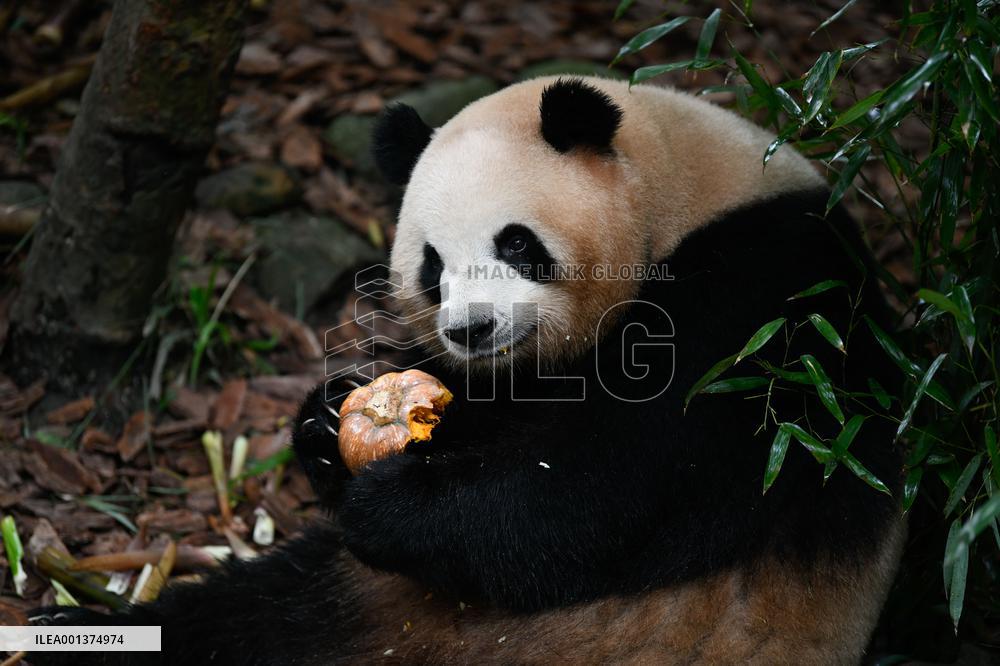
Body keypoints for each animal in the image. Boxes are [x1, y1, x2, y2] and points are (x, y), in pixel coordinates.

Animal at [31, 76, 904, 665]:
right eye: (431, 265)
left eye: (516, 241)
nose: (471, 328)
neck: (684, 190)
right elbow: (489, 415)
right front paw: (328, 422)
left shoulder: (771, 299)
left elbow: (613, 476)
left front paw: (396, 506)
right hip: (349, 601)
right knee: (233, 621)